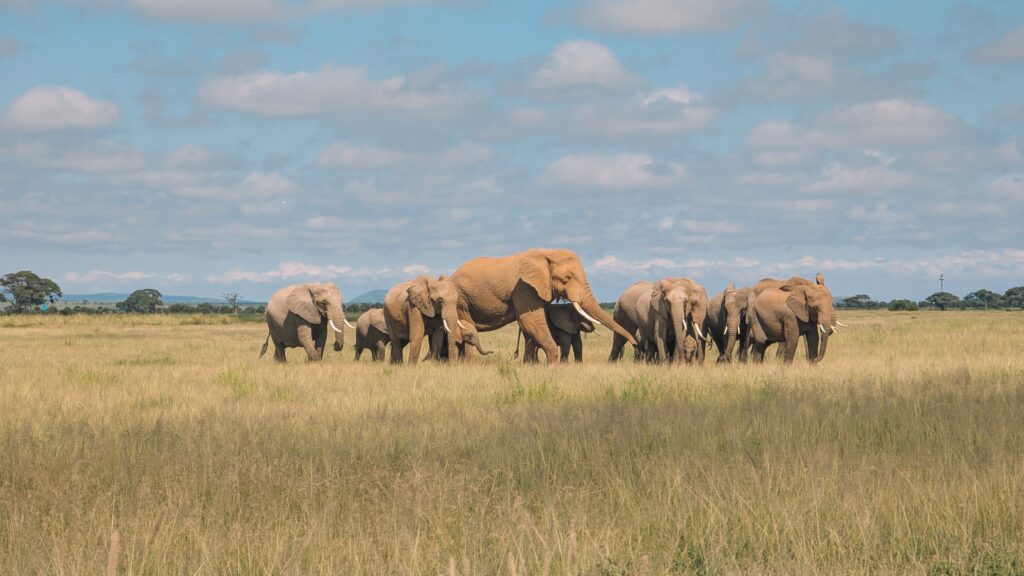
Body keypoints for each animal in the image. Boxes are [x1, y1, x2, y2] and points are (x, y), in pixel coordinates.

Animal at [449, 248, 636, 364]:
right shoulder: (524, 287)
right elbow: (531, 320)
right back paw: (470, 364)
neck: (547, 253)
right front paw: (552, 366)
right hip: (461, 299)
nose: (636, 344)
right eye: (567, 278)